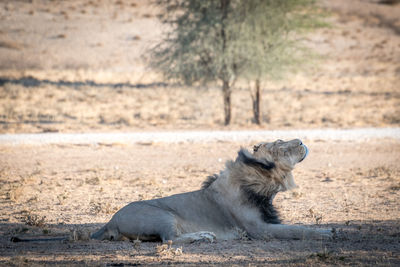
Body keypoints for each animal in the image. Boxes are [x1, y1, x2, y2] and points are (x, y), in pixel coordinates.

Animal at [90, 139, 332, 244]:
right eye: (282, 148)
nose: (301, 141)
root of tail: (110, 221)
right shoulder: (259, 229)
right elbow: (297, 229)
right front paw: (326, 232)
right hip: (162, 215)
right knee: (169, 239)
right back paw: (203, 236)